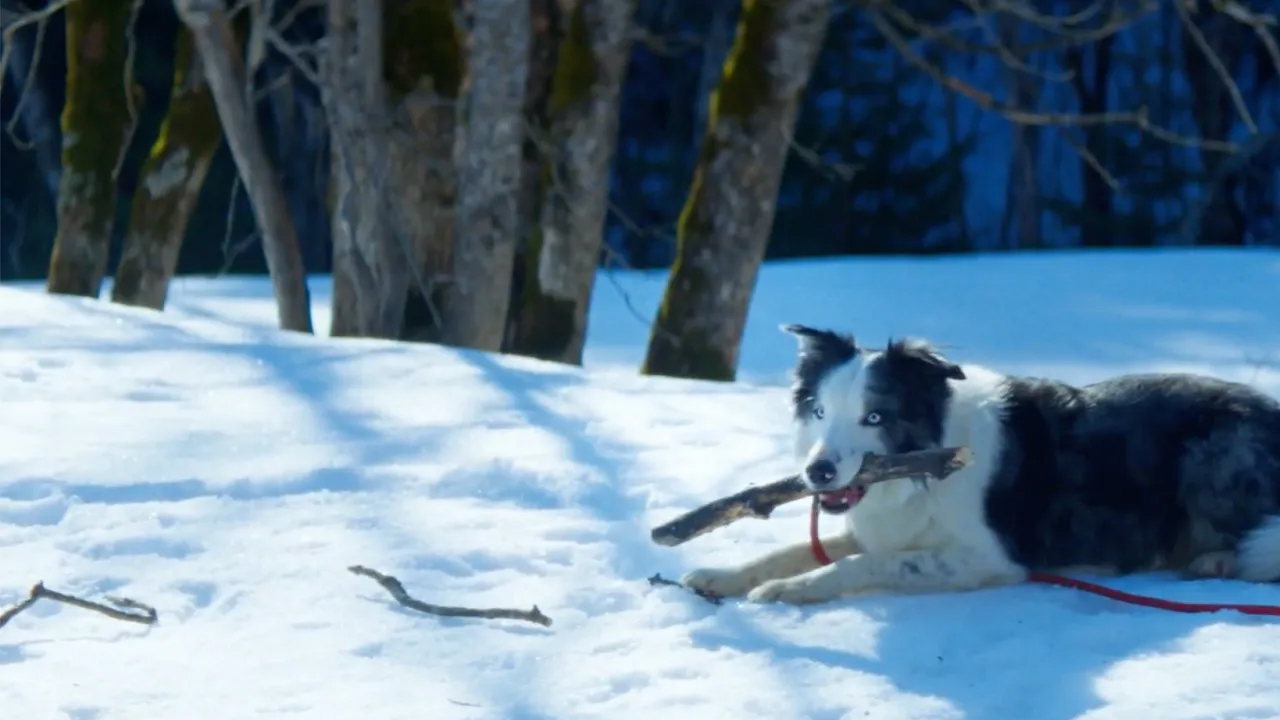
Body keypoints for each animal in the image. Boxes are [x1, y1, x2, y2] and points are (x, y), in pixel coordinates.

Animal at [686, 324, 1280, 599]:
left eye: (875, 417)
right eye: (818, 411)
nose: (818, 473)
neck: (923, 470)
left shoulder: (988, 557)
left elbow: (866, 564)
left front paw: (789, 592)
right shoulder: (882, 528)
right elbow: (788, 551)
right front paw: (722, 576)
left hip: (1213, 451)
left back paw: (1217, 561)